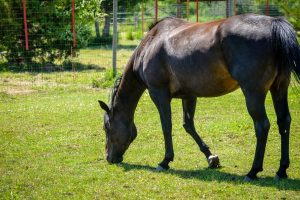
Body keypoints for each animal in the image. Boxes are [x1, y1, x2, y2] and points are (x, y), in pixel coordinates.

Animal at [99, 13, 300, 180]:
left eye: (106, 127)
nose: (109, 157)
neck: (151, 43)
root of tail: (273, 23)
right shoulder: (189, 96)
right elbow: (188, 126)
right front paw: (211, 157)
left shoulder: (159, 94)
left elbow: (166, 126)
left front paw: (165, 161)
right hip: (279, 89)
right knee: (284, 122)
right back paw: (281, 170)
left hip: (253, 94)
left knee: (262, 126)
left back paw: (253, 171)